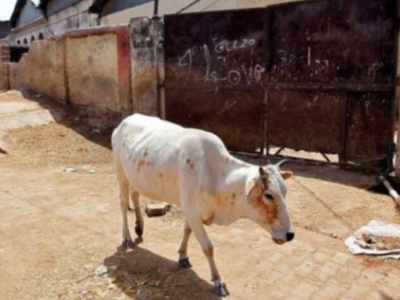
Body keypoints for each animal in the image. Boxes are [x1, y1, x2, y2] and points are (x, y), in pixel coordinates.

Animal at [111, 113, 294, 296]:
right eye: (269, 195)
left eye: (285, 191)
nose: (290, 234)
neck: (215, 176)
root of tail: (126, 120)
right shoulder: (191, 210)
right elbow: (208, 247)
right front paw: (218, 281)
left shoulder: (190, 210)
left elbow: (187, 230)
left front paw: (183, 256)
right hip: (121, 172)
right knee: (123, 203)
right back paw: (127, 237)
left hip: (135, 177)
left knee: (134, 194)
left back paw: (139, 227)